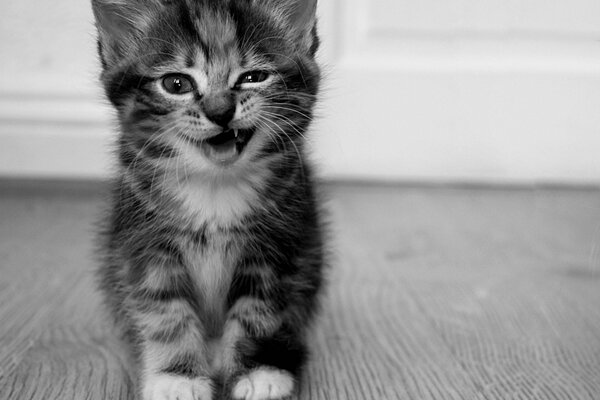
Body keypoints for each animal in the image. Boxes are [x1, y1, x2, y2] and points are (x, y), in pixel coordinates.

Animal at [91, 0, 326, 400]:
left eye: (253, 77)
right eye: (176, 84)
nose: (220, 111)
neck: (214, 186)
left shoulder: (278, 246)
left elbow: (258, 310)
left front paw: (257, 371)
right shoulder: (144, 243)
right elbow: (165, 311)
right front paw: (177, 379)